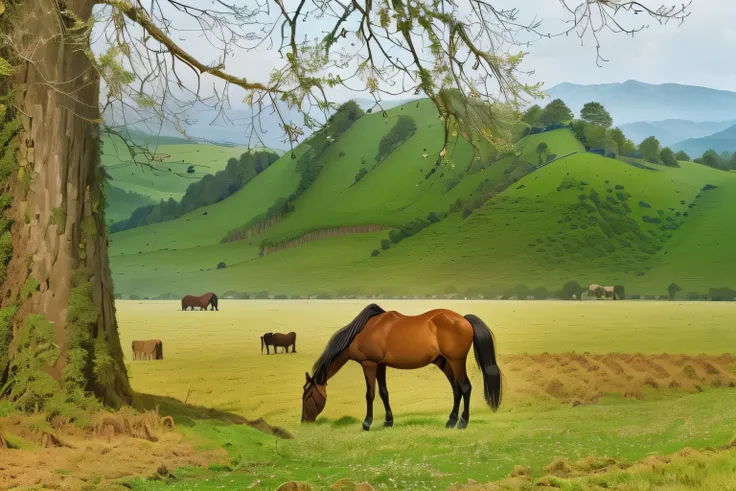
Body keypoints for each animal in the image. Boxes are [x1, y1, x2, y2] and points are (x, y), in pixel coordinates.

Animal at [302, 304, 504, 430]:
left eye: (308, 396)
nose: (304, 421)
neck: (362, 332)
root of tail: (463, 319)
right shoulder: (380, 365)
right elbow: (383, 393)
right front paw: (388, 421)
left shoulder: (369, 364)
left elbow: (370, 394)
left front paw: (367, 423)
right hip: (444, 362)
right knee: (456, 389)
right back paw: (451, 421)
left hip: (456, 361)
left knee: (465, 387)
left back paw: (462, 422)